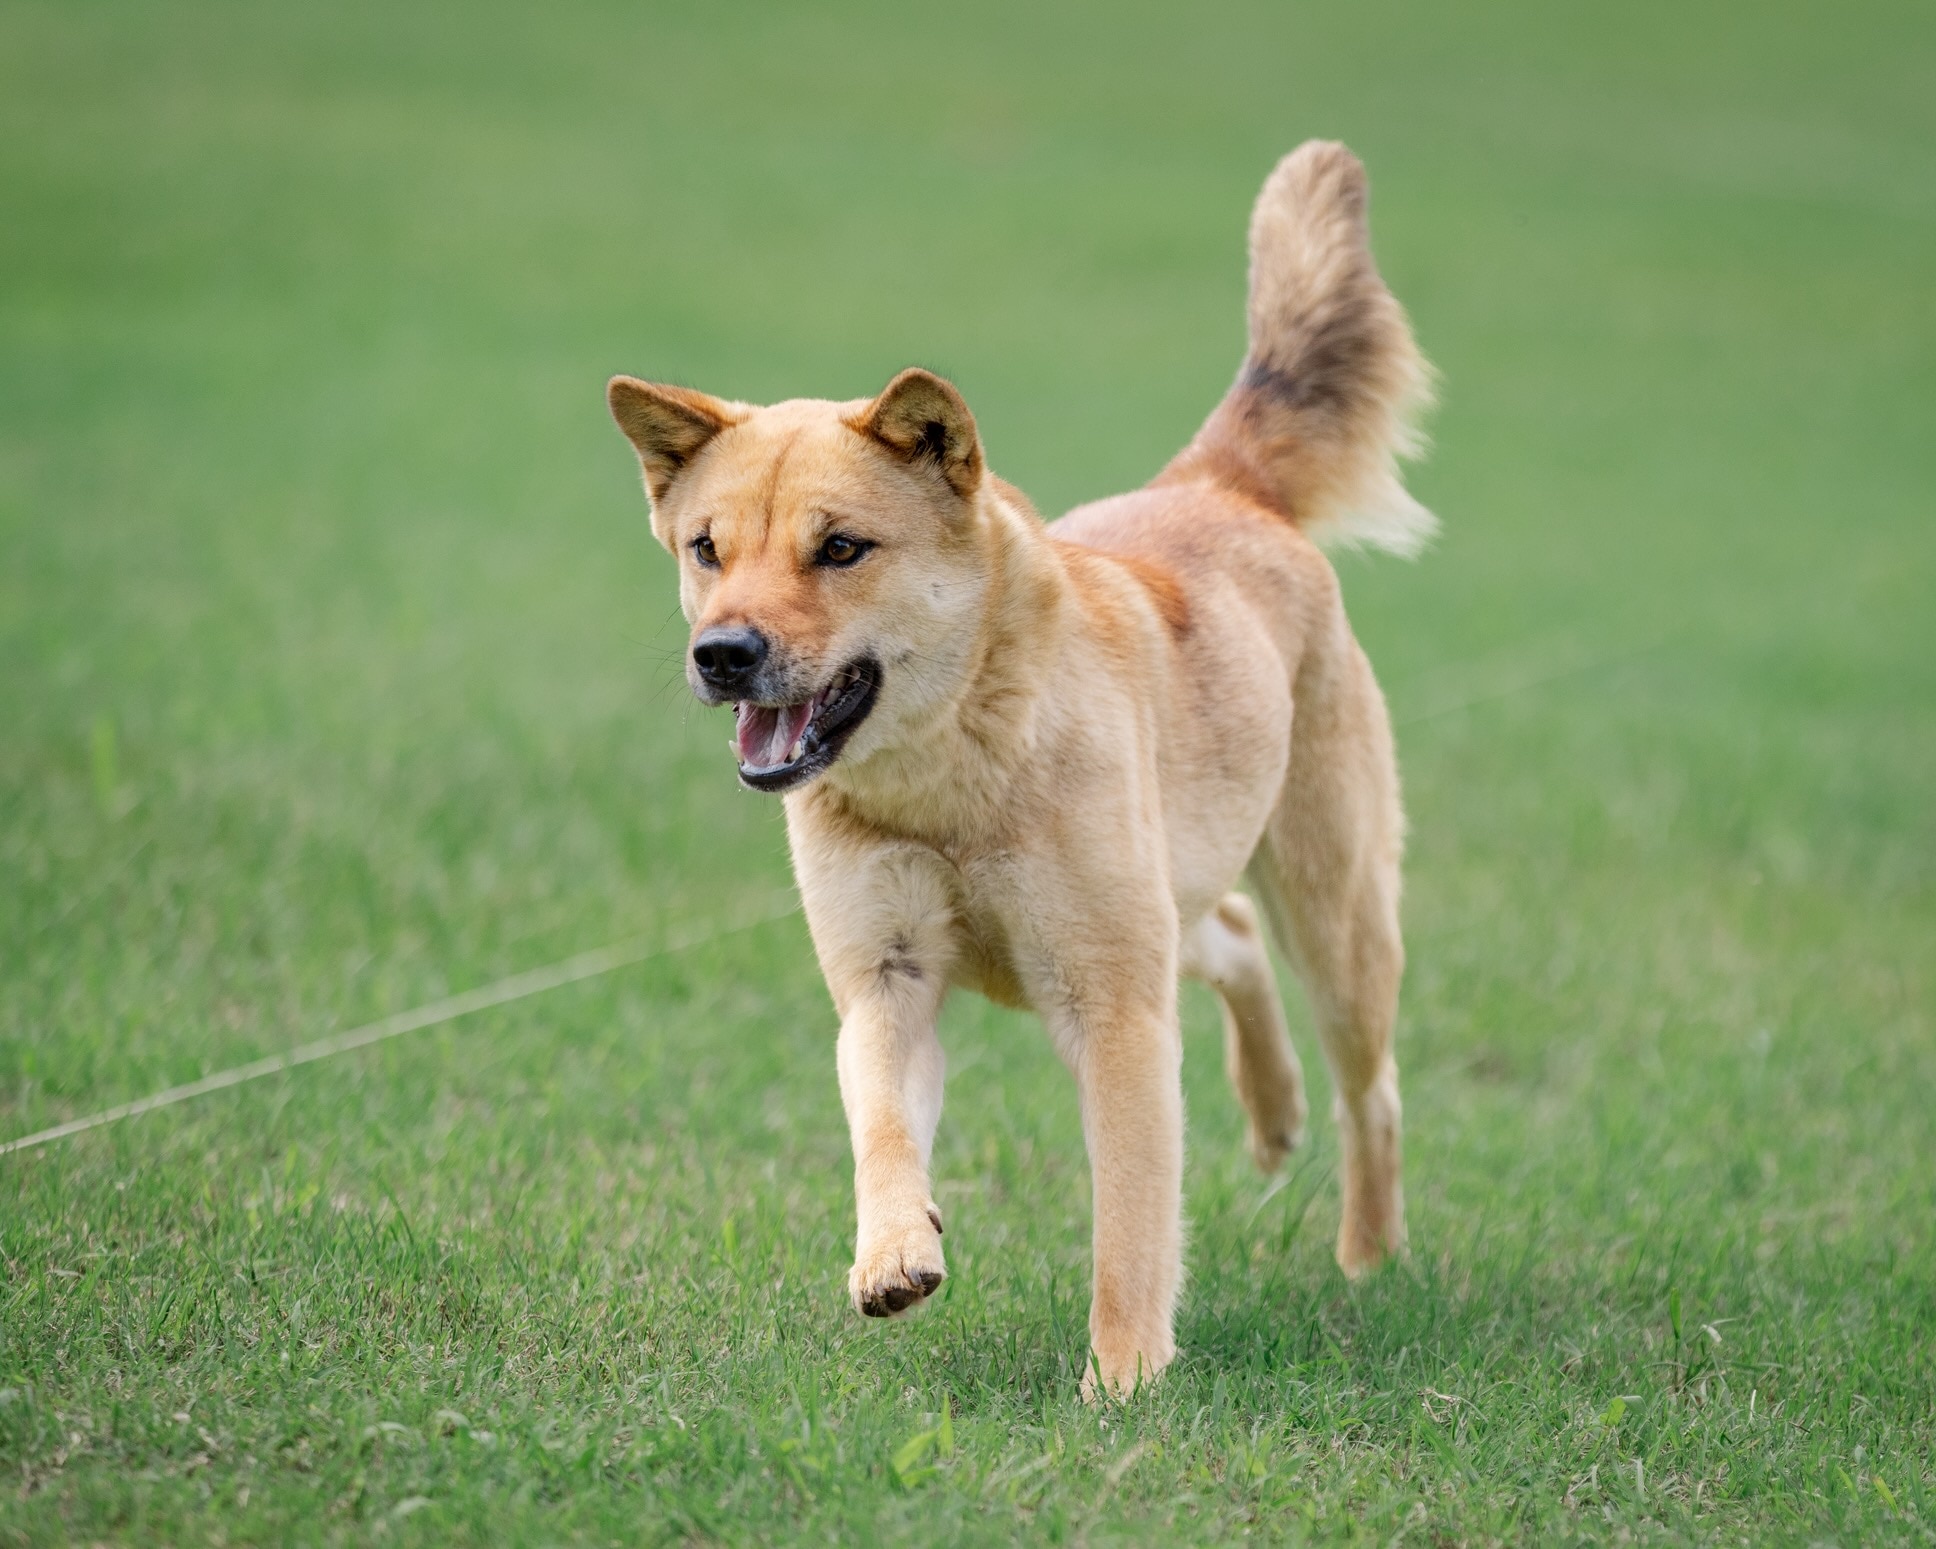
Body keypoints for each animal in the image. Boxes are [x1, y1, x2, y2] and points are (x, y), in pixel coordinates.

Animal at [611, 145, 1432, 1394]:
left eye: (839, 547)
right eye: (708, 548)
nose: (723, 654)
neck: (953, 779)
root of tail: (1216, 486)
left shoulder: (1117, 1008)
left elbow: (1130, 1223)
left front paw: (1123, 1384)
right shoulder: (887, 981)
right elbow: (881, 1130)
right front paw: (894, 1253)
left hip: (1333, 913)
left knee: (1369, 1088)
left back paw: (1369, 1259)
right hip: (1177, 893)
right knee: (1234, 940)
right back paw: (1272, 1112)